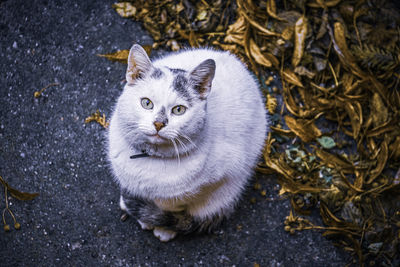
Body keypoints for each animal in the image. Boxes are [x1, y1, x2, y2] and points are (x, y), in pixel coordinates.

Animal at [108, 44, 268, 243]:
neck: (150, 158)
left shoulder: (212, 182)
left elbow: (172, 208)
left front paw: (163, 229)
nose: (159, 123)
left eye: (179, 110)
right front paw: (143, 215)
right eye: (146, 103)